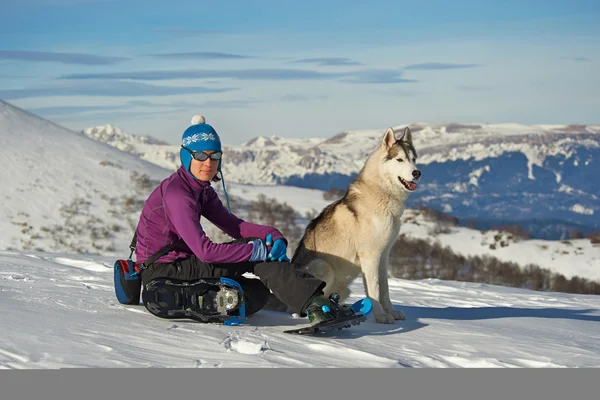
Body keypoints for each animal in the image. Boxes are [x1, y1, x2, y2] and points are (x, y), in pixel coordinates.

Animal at [292, 126, 420, 324]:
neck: (382, 195)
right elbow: (374, 290)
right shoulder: (370, 257)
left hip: (344, 288)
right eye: (399, 159)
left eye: (413, 159)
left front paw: (391, 312)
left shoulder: (383, 256)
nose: (417, 173)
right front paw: (381, 316)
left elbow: (385, 289)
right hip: (323, 266)